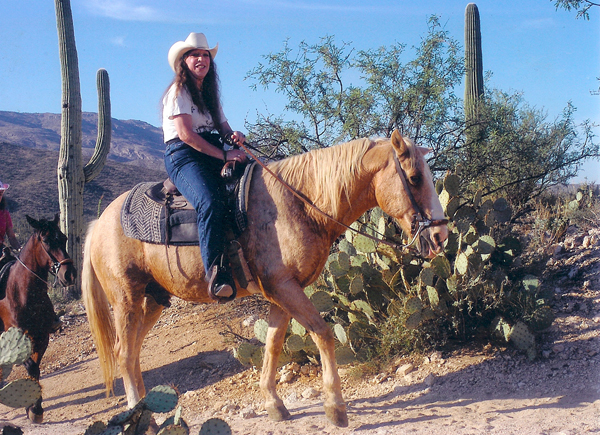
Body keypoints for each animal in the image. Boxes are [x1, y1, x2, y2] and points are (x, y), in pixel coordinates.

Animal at [0, 215, 77, 422]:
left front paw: (33, 408)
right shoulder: (16, 340)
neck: (23, 293)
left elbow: (35, 370)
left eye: (64, 238)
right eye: (47, 241)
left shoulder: (41, 337)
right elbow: (32, 367)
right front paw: (34, 409)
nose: (70, 274)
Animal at [81, 130, 446, 430]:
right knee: (124, 354)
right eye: (414, 177)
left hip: (152, 300)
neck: (298, 203)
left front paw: (274, 404)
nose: (441, 235)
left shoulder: (282, 291)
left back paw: (149, 416)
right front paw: (335, 407)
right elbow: (323, 333)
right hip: (126, 299)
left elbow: (273, 343)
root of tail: (98, 223)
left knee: (132, 354)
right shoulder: (284, 287)